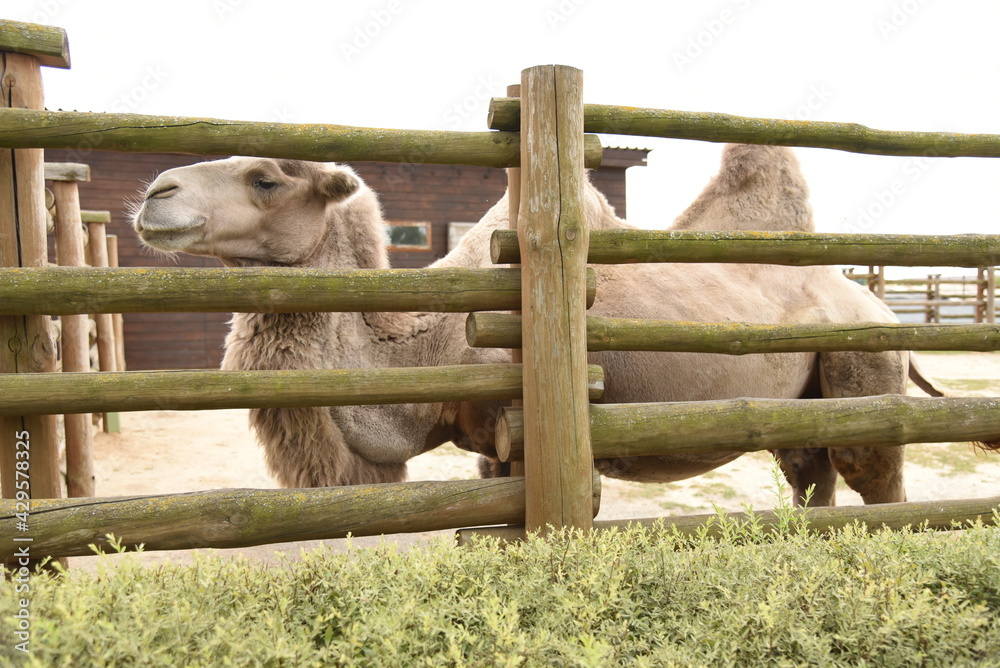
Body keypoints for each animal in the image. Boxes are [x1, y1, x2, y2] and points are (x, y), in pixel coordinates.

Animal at [132, 145, 918, 506]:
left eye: (266, 179)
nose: (154, 193)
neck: (428, 346)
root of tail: (880, 309)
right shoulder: (488, 447)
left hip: (863, 373)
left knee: (875, 482)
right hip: (802, 409)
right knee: (811, 479)